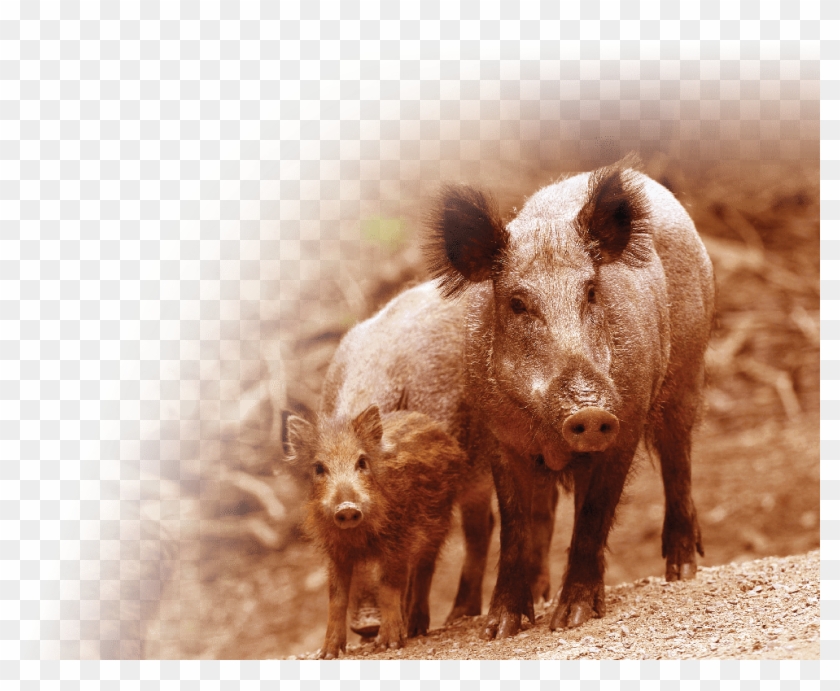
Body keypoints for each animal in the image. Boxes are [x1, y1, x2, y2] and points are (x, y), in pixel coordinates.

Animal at [285, 406, 465, 657]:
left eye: (361, 462)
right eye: (319, 467)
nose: (347, 508)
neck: (358, 537)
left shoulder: (398, 539)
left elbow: (387, 587)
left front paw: (389, 644)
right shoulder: (336, 551)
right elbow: (336, 597)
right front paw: (327, 653)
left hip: (439, 520)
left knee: (425, 569)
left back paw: (415, 629)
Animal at [424, 155, 715, 638]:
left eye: (592, 291)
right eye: (517, 302)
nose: (590, 410)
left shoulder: (625, 422)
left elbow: (594, 513)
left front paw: (570, 620)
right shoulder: (499, 436)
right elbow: (515, 524)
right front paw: (500, 629)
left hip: (689, 370)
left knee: (679, 460)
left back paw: (682, 571)